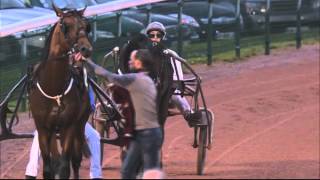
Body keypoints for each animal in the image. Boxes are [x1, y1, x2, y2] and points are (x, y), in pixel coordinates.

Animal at [28, 5, 92, 179]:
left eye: (86, 25)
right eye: (66, 25)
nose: (85, 48)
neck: (53, 88)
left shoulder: (68, 126)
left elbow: (64, 167)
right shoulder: (43, 128)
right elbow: (48, 168)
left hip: (79, 125)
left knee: (75, 160)